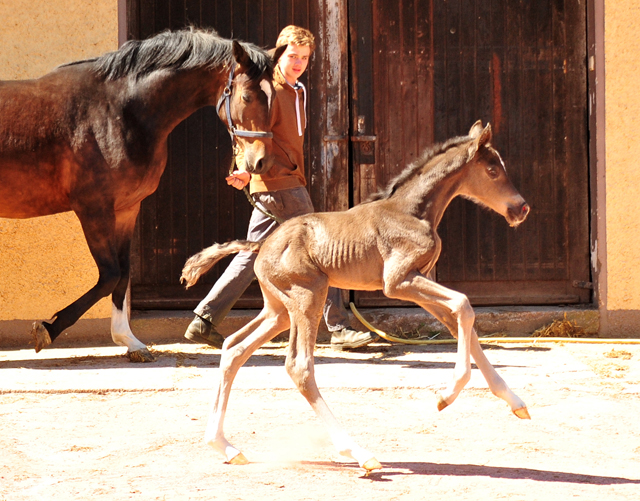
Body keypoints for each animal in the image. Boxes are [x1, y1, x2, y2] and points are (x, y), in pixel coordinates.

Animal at [0, 28, 284, 360]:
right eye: (247, 96)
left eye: (274, 98)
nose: (261, 162)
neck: (119, 112)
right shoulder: (93, 209)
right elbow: (109, 275)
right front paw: (48, 328)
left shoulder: (126, 208)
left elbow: (123, 274)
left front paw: (129, 341)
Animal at [182, 120, 532, 468]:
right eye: (492, 170)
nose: (522, 208)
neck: (411, 212)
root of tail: (261, 244)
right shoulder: (399, 281)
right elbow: (464, 305)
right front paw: (446, 396)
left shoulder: (418, 283)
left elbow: (462, 323)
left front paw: (515, 402)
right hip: (308, 296)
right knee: (298, 366)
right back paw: (358, 453)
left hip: (279, 309)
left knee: (234, 348)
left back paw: (224, 446)